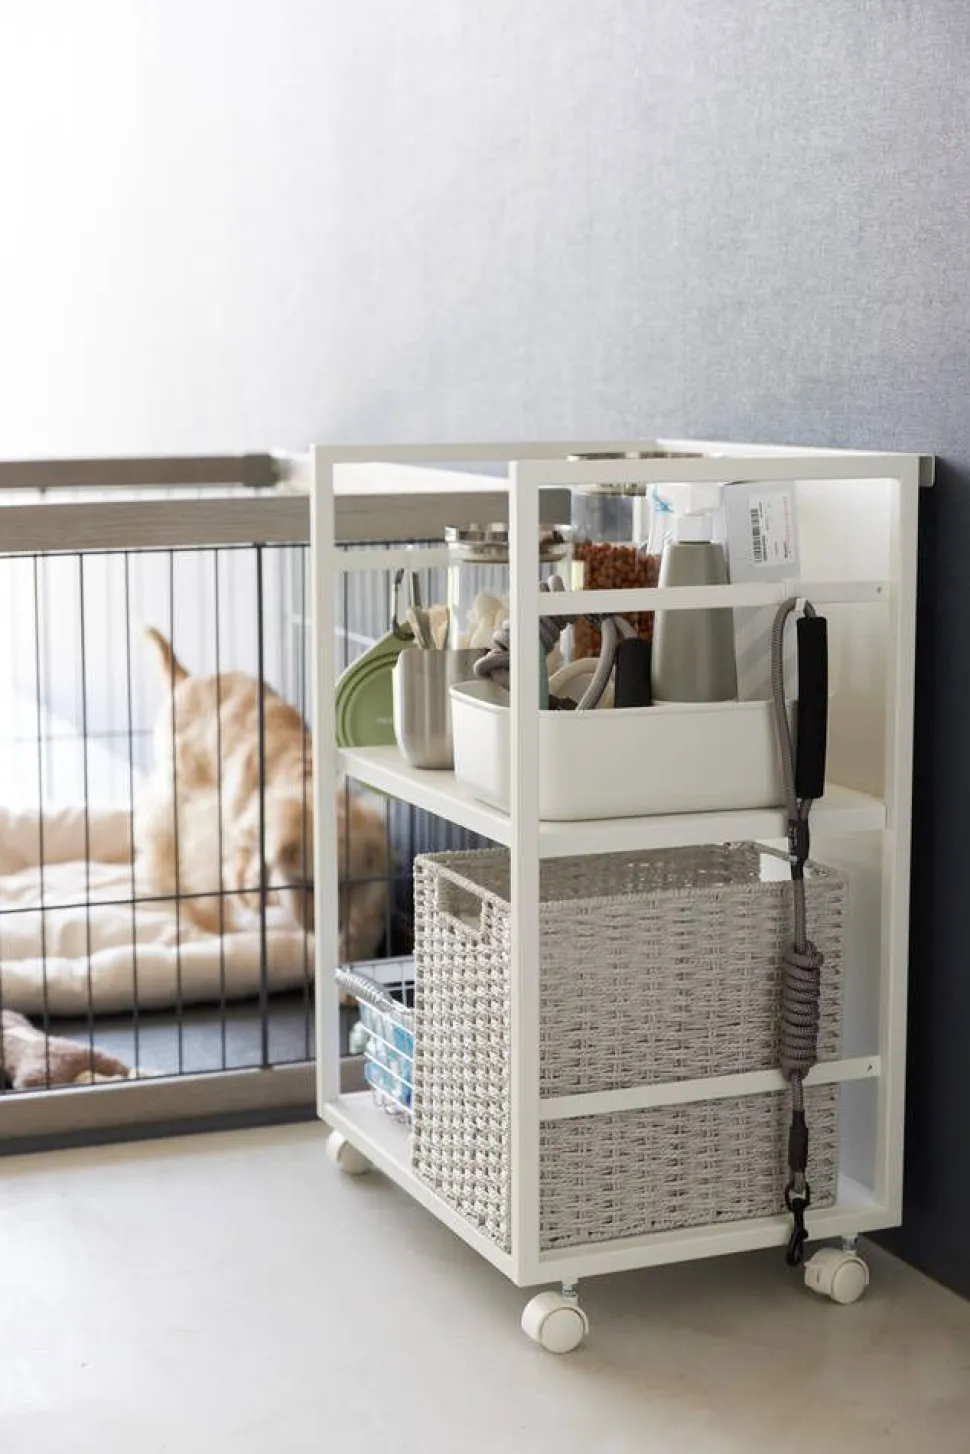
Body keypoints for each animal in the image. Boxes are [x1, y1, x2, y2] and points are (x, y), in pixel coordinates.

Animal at [135, 628, 389, 962]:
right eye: (305, 884)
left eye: (348, 884)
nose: (329, 928)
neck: (304, 779)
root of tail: (187, 680)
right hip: (176, 788)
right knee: (161, 839)